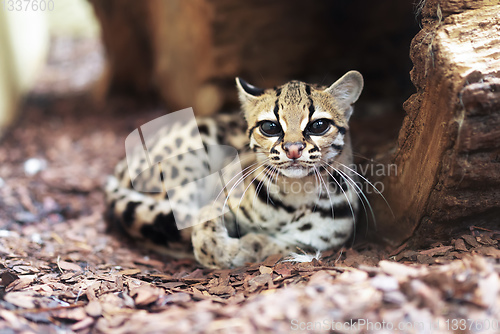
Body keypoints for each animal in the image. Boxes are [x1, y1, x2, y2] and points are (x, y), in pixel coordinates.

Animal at [105, 70, 364, 268]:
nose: (293, 149)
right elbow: (204, 222)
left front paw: (251, 245)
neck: (295, 192)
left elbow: (287, 244)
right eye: (270, 127)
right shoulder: (221, 195)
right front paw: (228, 250)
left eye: (318, 125)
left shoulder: (323, 238)